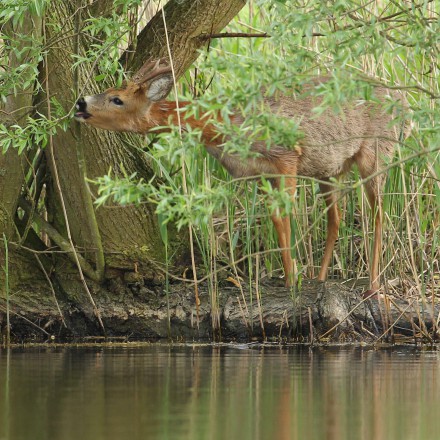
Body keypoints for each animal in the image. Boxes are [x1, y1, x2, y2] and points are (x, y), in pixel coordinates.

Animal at [75, 58, 410, 292]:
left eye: (117, 99)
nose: (80, 102)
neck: (225, 125)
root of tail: (404, 103)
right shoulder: (261, 174)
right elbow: (275, 219)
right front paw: (293, 276)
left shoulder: (287, 156)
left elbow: (283, 217)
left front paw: (292, 278)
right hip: (330, 170)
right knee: (336, 218)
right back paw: (321, 277)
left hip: (377, 152)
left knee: (378, 213)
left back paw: (373, 284)